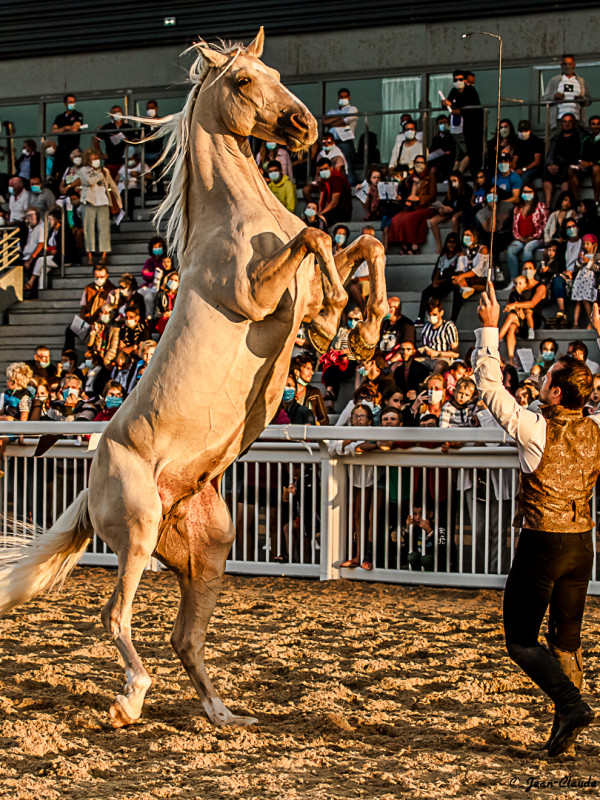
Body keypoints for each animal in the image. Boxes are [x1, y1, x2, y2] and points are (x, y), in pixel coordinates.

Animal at [0, 28, 386, 728]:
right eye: (243, 82)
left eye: (276, 72)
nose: (306, 127)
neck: (236, 217)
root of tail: (92, 477)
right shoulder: (256, 298)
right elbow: (319, 238)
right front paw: (338, 325)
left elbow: (362, 243)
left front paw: (362, 331)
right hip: (137, 533)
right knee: (114, 616)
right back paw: (130, 700)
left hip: (207, 551)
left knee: (185, 636)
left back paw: (225, 715)